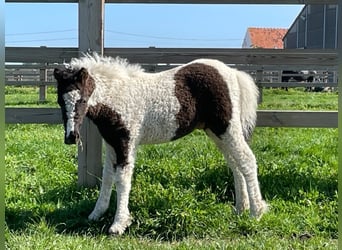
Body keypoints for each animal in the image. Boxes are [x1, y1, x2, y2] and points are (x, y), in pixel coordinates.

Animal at [53, 54, 268, 234]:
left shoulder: (126, 142)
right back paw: (241, 208)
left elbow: (122, 179)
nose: (71, 137)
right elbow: (107, 177)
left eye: (82, 100)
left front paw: (119, 224)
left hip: (227, 128)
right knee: (235, 164)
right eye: (60, 101)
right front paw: (96, 214)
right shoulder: (112, 144)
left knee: (247, 160)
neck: (118, 97)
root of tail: (232, 72)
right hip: (215, 132)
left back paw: (256, 212)